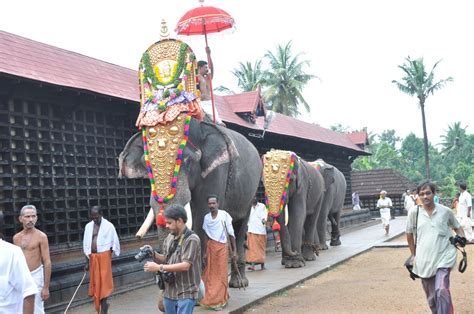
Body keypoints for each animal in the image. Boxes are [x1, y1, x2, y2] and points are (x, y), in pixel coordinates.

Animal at [116, 118, 262, 288]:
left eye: (189, 161)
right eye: (147, 166)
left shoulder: (218, 170)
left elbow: (201, 215)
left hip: (250, 192)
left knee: (239, 228)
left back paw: (238, 283)